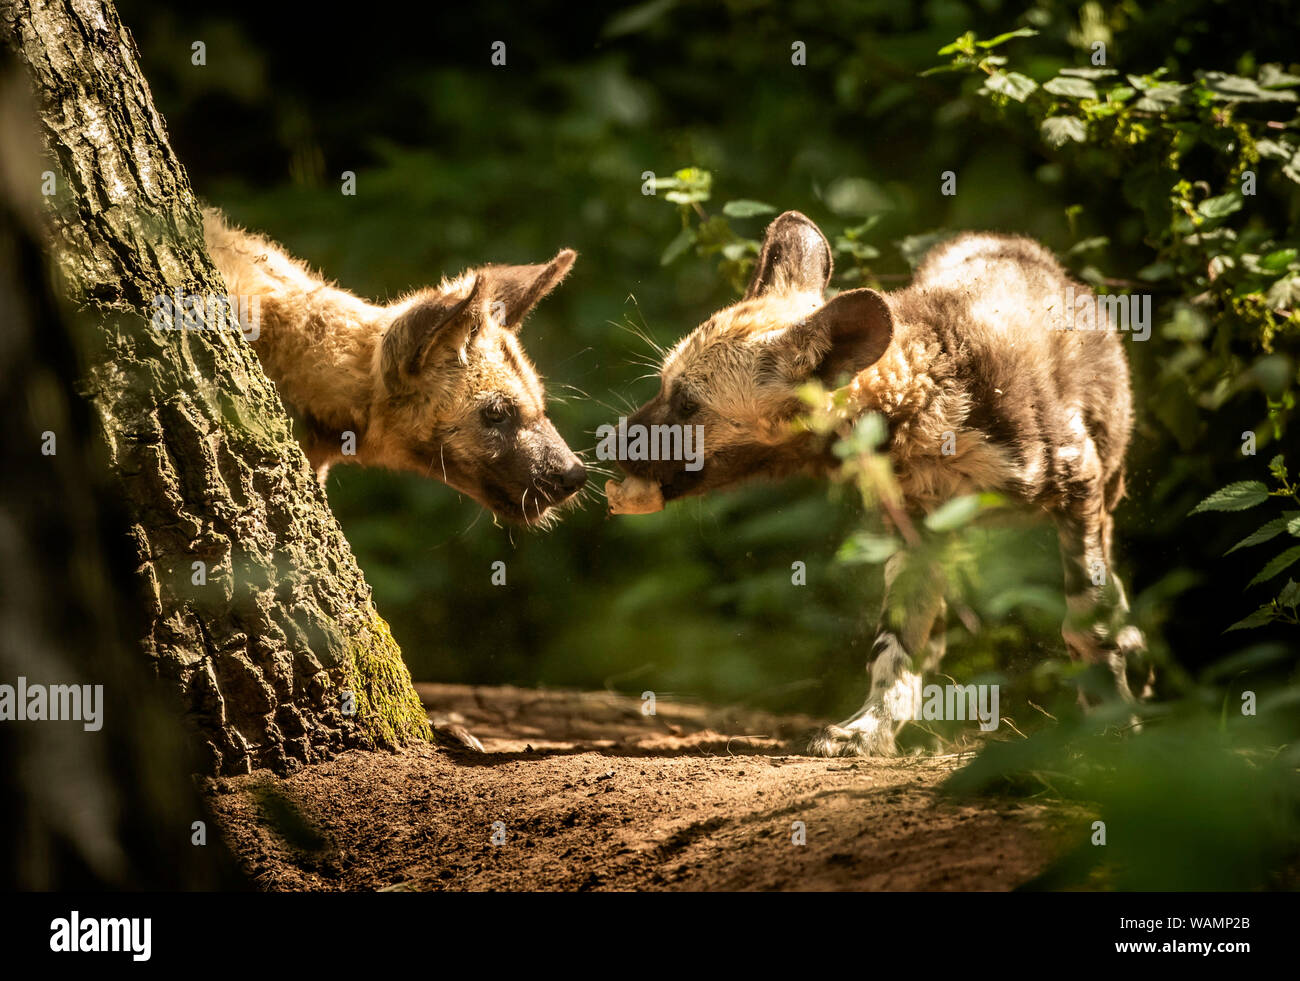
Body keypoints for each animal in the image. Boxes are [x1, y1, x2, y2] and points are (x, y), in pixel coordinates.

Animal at [613, 210, 1144, 753]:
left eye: (688, 405)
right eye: (663, 386)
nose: (608, 442)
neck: (928, 401)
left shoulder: (1078, 487)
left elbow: (1088, 622)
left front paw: (1114, 729)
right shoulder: (918, 536)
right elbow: (893, 648)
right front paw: (868, 729)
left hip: (1103, 490)